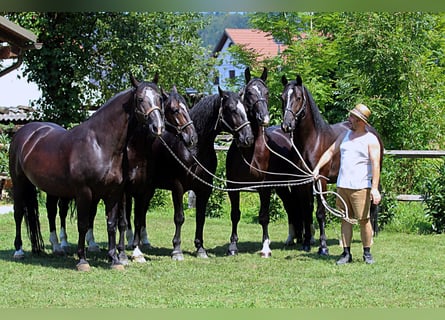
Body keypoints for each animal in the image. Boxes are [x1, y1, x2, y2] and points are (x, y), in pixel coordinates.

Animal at [8, 75, 165, 270]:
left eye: (160, 98)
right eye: (140, 99)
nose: (158, 127)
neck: (99, 144)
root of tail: (23, 133)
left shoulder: (113, 193)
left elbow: (111, 224)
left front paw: (115, 260)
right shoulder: (84, 192)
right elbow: (83, 224)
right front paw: (82, 260)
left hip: (51, 188)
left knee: (50, 212)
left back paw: (57, 248)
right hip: (19, 183)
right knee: (18, 213)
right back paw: (19, 250)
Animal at [126, 86, 255, 262]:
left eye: (245, 110)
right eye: (231, 109)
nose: (248, 138)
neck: (193, 150)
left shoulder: (204, 188)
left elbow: (200, 217)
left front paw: (200, 248)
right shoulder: (178, 187)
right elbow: (179, 218)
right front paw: (177, 250)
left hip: (148, 189)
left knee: (142, 212)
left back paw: (144, 242)